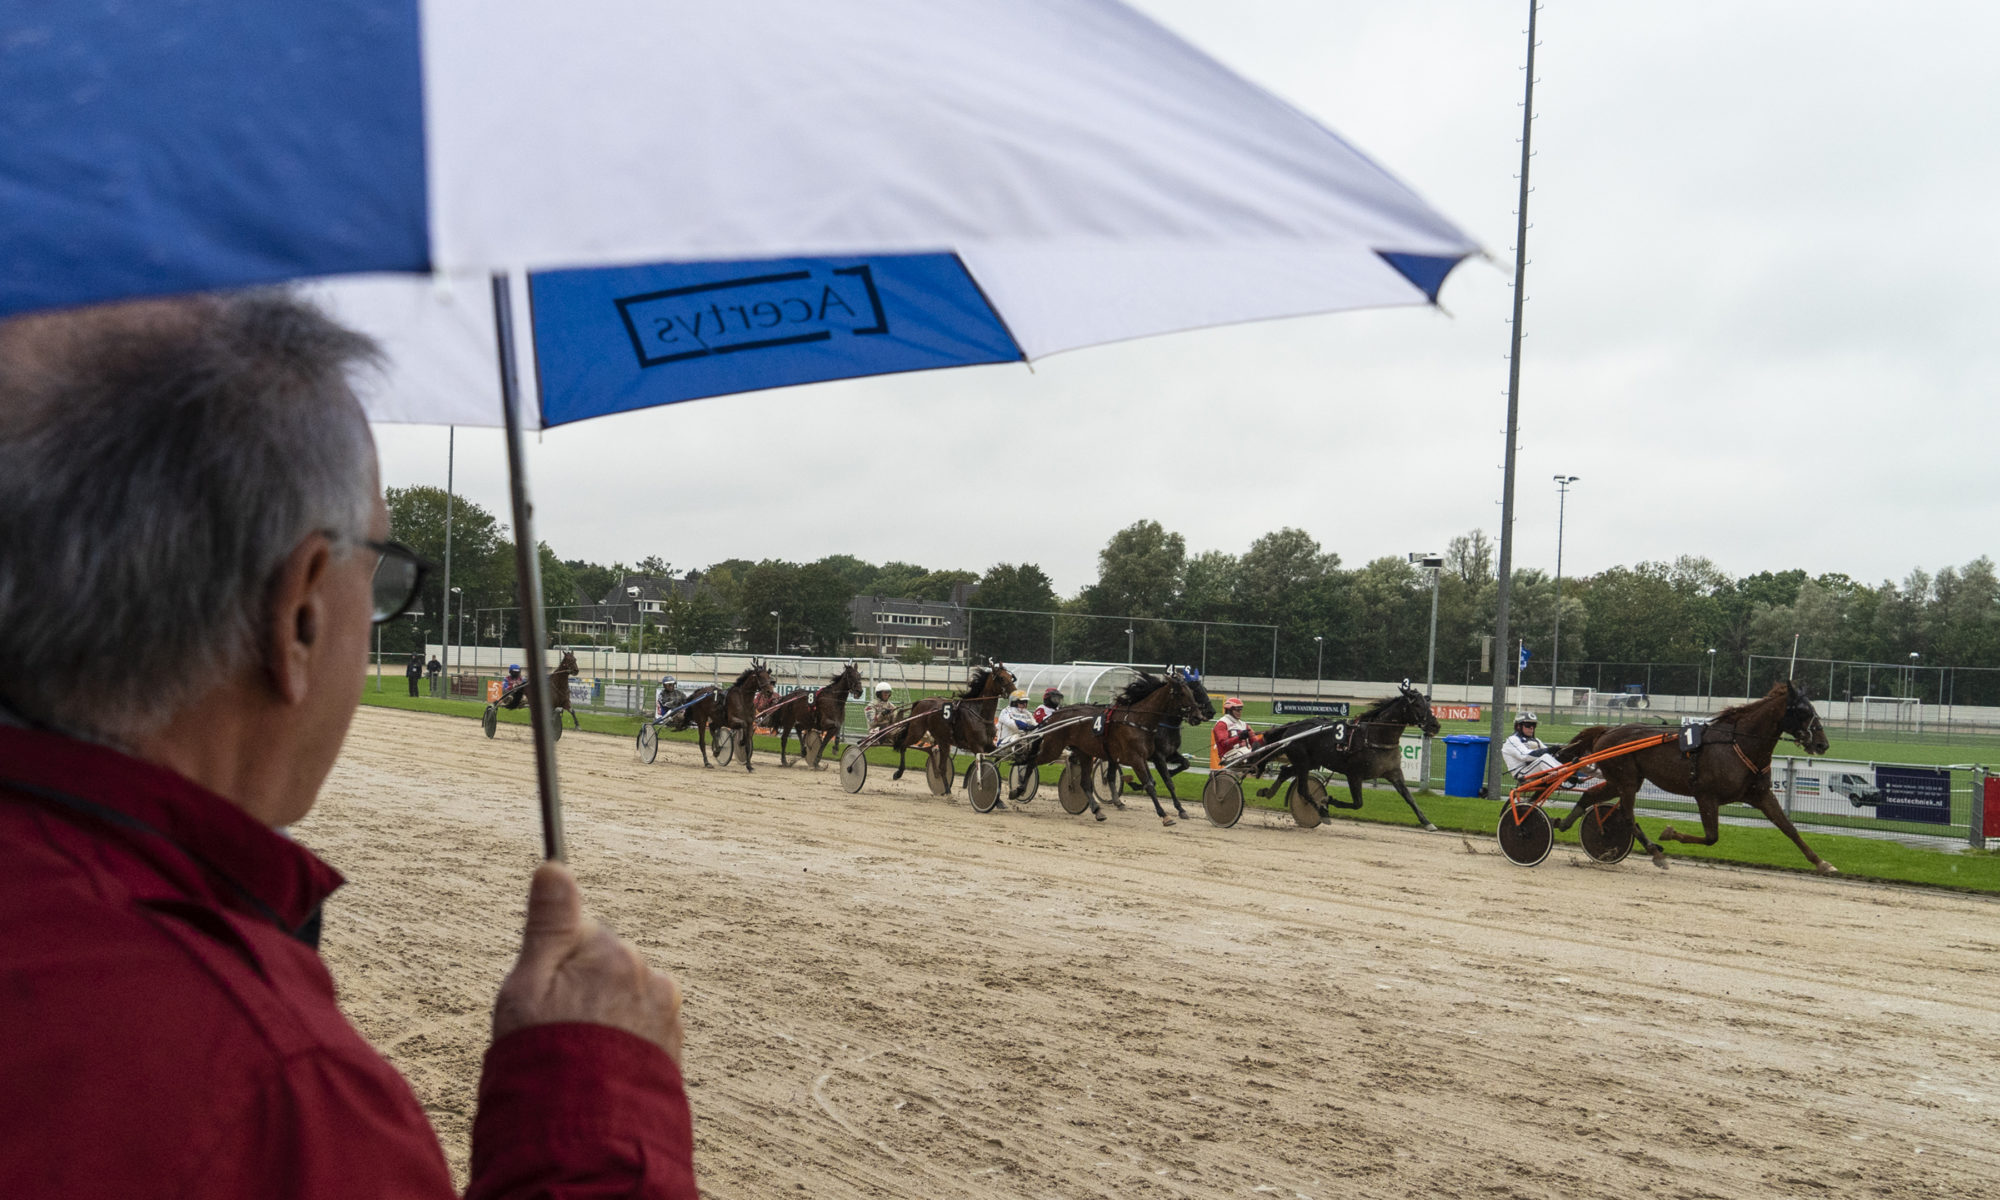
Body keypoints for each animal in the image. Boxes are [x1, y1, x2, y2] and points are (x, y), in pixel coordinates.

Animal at [1008, 672, 1192, 828]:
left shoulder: (1142, 756)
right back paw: (1018, 790)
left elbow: (1155, 781)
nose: (1196, 714)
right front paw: (1165, 816)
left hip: (1083, 752)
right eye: (1182, 694)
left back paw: (1097, 811)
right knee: (1032, 761)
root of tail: (1054, 716)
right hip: (1053, 747)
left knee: (1084, 782)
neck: (1136, 720)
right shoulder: (1137, 758)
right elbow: (1149, 784)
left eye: (1191, 692)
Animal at [1248, 680, 1440, 828]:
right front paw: (1326, 800)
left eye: (1428, 705)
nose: (1435, 725)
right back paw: (1321, 811)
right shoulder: (1354, 774)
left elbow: (1409, 798)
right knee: (1303, 789)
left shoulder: (1393, 773)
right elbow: (1357, 803)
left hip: (1310, 761)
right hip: (1302, 760)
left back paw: (1268, 792)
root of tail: (1293, 726)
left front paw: (1427, 822)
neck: (1374, 737)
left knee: (1285, 772)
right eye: (1417, 705)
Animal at [1552, 684, 1832, 872]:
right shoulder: (1706, 795)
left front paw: (1821, 862)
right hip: (1627, 781)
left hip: (1621, 780)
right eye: (1803, 710)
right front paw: (1668, 833)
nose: (1822, 744)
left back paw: (1565, 824)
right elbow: (1711, 837)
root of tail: (1607, 731)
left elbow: (1788, 827)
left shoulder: (1760, 794)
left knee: (1591, 795)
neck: (1737, 744)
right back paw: (1655, 852)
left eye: (1813, 709)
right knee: (1627, 814)